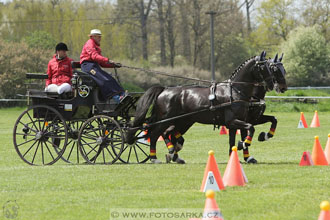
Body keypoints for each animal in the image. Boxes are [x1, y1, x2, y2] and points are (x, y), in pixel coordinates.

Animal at [126, 52, 274, 163]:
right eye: (263, 67)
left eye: (271, 67)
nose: (272, 84)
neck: (235, 91)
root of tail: (165, 89)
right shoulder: (232, 121)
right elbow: (251, 128)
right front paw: (243, 144)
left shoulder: (238, 121)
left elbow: (238, 137)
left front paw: (241, 153)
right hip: (166, 120)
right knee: (155, 134)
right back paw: (155, 157)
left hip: (183, 121)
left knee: (168, 134)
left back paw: (174, 154)